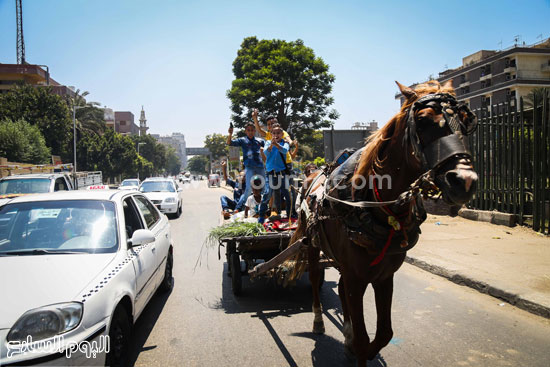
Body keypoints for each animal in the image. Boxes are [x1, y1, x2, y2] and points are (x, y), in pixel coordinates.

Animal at [294, 80, 478, 366]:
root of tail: (312, 173)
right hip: (311, 244)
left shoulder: (384, 276)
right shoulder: (357, 277)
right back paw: (318, 321)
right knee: (314, 278)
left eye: (467, 121)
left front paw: (361, 347)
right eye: (423, 121)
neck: (374, 206)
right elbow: (363, 338)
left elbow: (383, 333)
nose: (465, 181)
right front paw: (357, 347)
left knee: (342, 289)